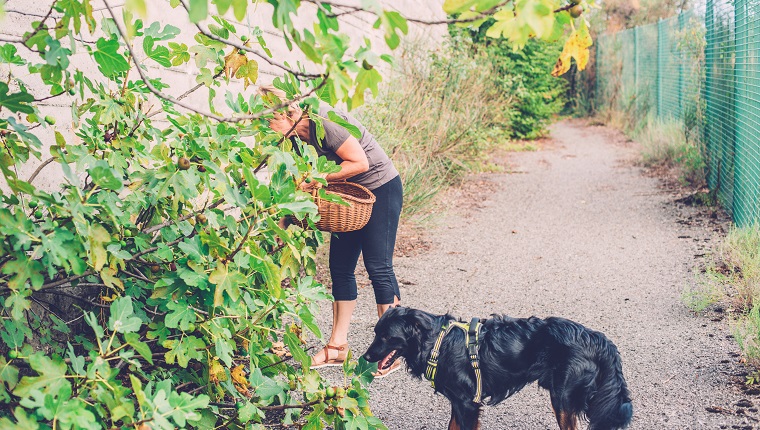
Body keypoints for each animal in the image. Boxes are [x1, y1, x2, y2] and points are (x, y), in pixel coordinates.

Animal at [362, 308, 628, 428]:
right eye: (375, 332)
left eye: (386, 337)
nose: (366, 356)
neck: (438, 343)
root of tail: (597, 338)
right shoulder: (458, 403)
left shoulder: (467, 404)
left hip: (562, 397)